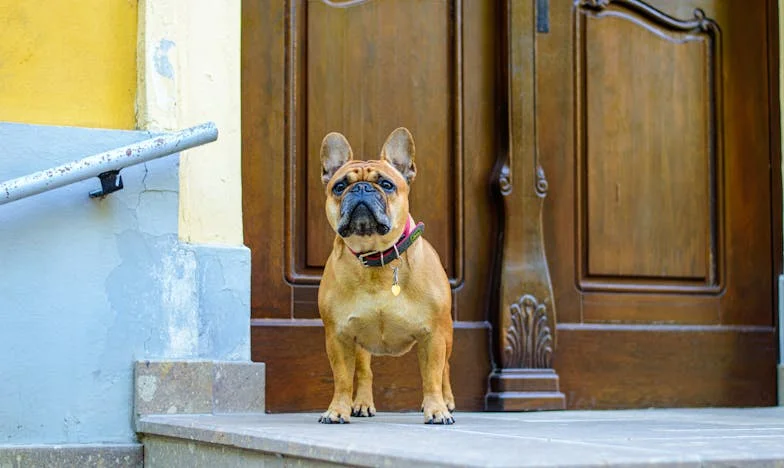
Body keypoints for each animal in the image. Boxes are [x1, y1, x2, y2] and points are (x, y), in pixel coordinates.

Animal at [316, 127, 456, 424]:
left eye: (387, 184)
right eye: (339, 187)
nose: (361, 188)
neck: (376, 258)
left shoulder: (433, 336)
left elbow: (432, 376)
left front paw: (436, 409)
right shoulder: (338, 337)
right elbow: (342, 379)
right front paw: (337, 410)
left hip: (447, 335)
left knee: (445, 370)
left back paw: (448, 402)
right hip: (359, 343)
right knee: (364, 372)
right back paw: (362, 403)